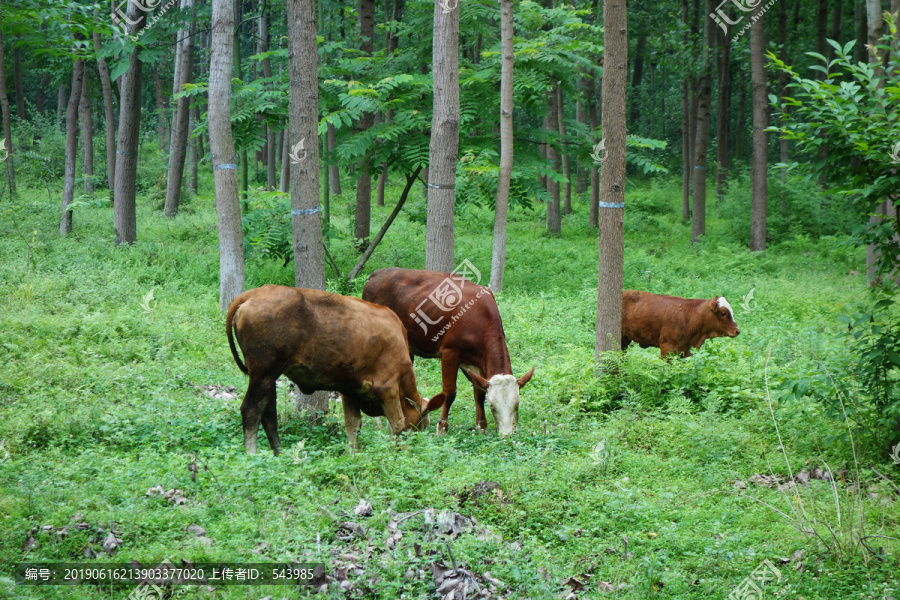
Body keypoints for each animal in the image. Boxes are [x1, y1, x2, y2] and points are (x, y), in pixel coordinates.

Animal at [227, 284, 434, 452]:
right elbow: (399, 426)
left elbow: (353, 426)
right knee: (251, 411)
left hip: (269, 377)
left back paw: (279, 454)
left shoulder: (350, 389)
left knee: (269, 414)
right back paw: (252, 455)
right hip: (263, 374)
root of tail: (250, 295)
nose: (420, 440)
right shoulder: (388, 387)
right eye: (423, 424)